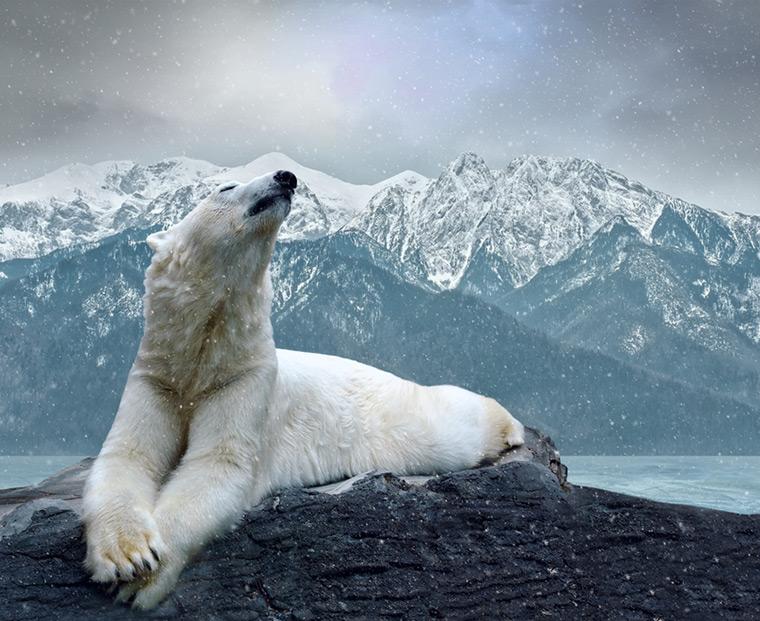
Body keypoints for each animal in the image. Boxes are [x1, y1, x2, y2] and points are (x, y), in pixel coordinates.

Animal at [80, 170, 524, 612]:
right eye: (225, 187)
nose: (286, 176)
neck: (203, 358)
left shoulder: (245, 380)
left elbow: (217, 465)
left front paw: (143, 577)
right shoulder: (158, 378)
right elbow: (127, 456)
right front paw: (127, 555)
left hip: (398, 417)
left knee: (450, 429)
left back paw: (510, 427)